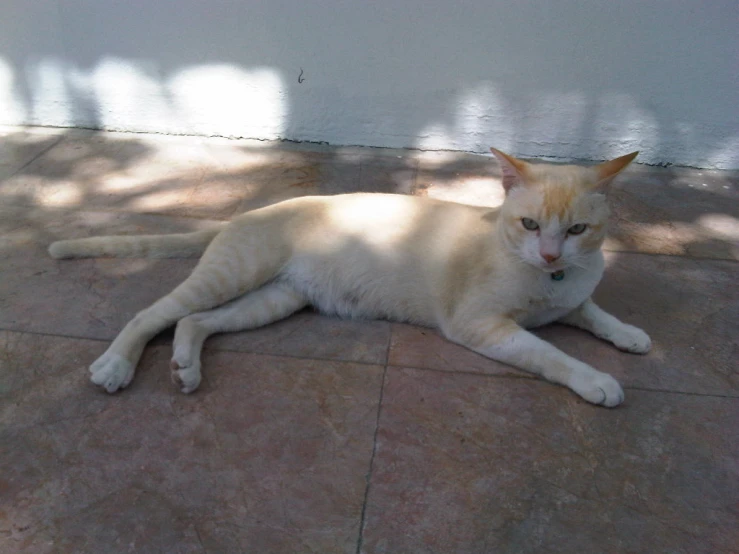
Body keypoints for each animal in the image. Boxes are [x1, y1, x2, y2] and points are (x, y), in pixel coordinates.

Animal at [49, 147, 652, 406]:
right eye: (529, 224)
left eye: (576, 230)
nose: (550, 256)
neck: (550, 282)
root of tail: (245, 213)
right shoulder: (482, 326)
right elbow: (553, 354)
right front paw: (596, 380)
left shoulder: (572, 299)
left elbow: (596, 313)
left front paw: (629, 335)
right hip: (234, 275)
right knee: (151, 313)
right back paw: (115, 366)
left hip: (274, 300)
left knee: (193, 322)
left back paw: (185, 368)